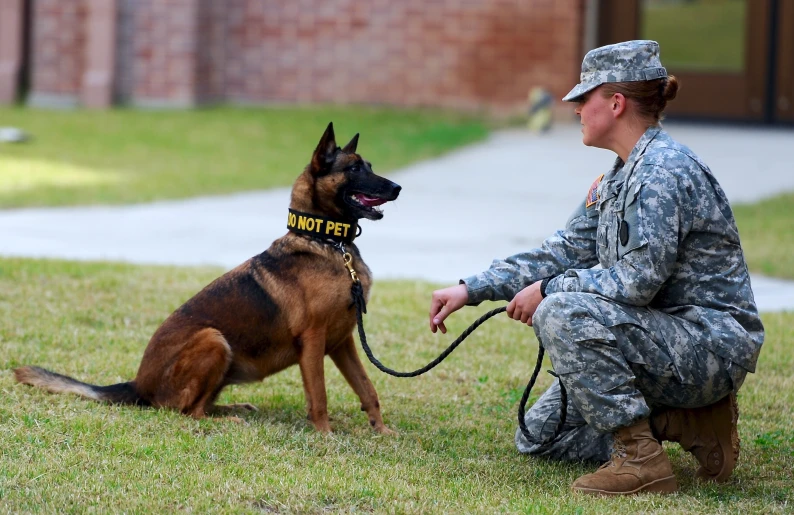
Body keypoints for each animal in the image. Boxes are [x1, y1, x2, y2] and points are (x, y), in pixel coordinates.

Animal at [17, 123, 402, 434]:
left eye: (369, 166)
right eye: (354, 168)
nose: (398, 187)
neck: (325, 241)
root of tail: (138, 385)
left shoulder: (342, 342)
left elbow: (368, 388)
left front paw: (381, 431)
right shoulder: (314, 341)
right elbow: (319, 396)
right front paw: (325, 436)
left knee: (200, 406)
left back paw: (235, 409)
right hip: (213, 339)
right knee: (188, 412)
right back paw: (228, 420)